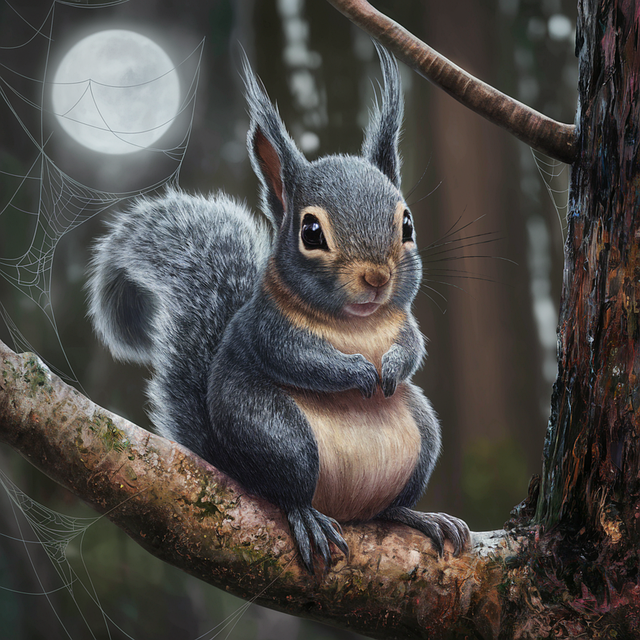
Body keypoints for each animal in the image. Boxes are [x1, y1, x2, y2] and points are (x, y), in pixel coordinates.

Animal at [87, 45, 470, 572]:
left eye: (407, 224)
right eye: (311, 232)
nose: (377, 278)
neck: (358, 324)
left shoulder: (404, 323)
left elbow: (412, 349)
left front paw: (390, 365)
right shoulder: (266, 327)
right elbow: (297, 358)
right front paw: (357, 373)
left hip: (423, 432)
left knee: (389, 507)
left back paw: (421, 516)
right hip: (276, 434)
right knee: (287, 491)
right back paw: (306, 516)